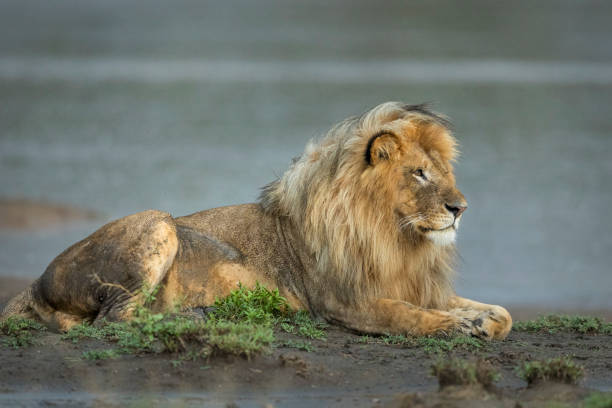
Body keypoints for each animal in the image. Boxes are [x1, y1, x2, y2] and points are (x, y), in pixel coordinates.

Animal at [1, 102, 512, 338]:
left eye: (445, 171)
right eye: (420, 173)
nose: (460, 208)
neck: (396, 239)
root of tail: (33, 284)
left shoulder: (416, 285)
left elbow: (501, 313)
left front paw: (480, 320)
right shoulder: (343, 302)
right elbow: (407, 315)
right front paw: (455, 327)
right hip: (158, 223)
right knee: (115, 319)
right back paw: (197, 316)